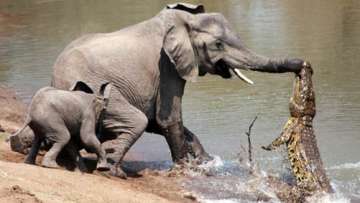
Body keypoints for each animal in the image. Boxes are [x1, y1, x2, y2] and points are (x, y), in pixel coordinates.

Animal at [50, 3, 304, 178]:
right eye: (218, 45)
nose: (302, 64)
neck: (186, 21)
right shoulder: (167, 66)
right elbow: (167, 118)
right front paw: (185, 169)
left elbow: (158, 121)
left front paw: (206, 162)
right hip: (95, 92)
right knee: (137, 120)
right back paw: (114, 171)